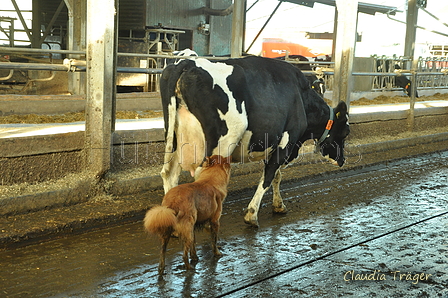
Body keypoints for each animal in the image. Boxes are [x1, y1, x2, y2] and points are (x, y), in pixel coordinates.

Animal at [158, 55, 350, 226]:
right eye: (346, 132)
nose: (342, 160)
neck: (302, 98)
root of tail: (186, 63)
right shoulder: (286, 143)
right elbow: (268, 176)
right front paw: (252, 215)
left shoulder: (274, 144)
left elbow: (276, 176)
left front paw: (278, 206)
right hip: (223, 140)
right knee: (202, 176)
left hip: (175, 138)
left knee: (169, 173)